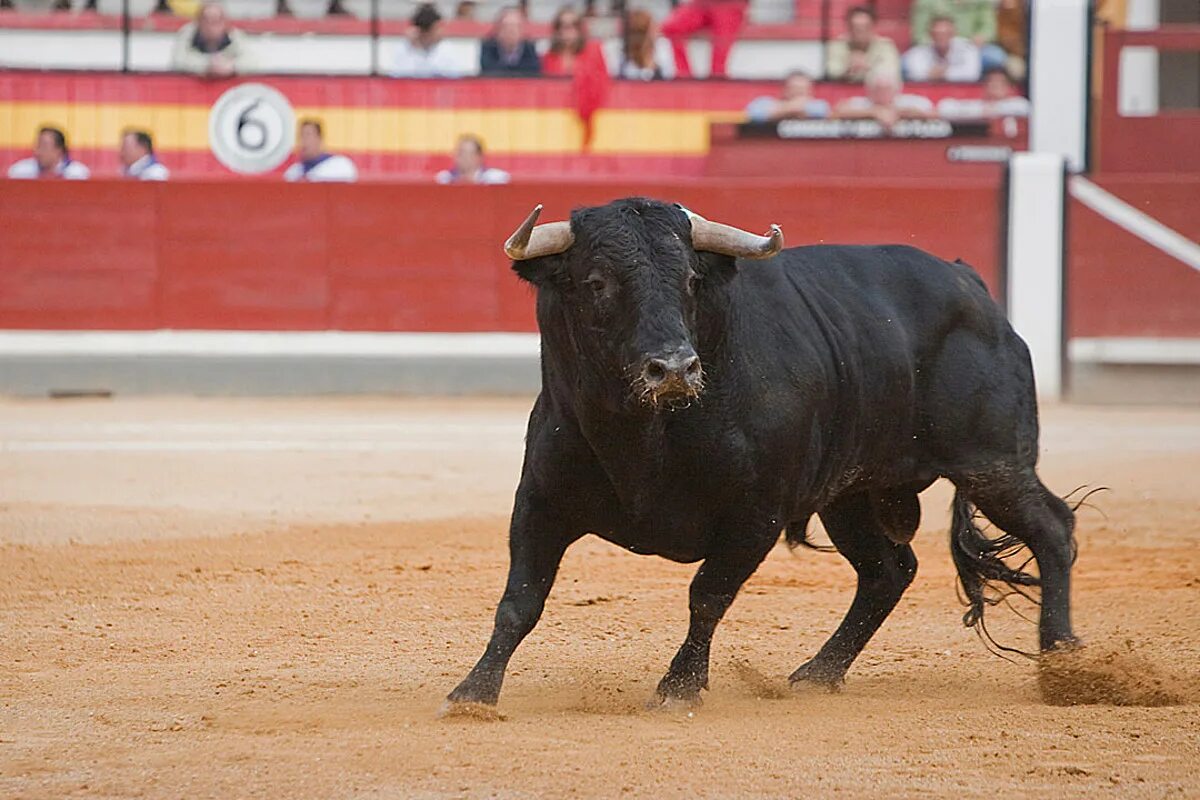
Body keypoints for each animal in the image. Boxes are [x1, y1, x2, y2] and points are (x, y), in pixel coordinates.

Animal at [444, 196, 1080, 710]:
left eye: (690, 280)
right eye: (596, 282)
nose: (674, 369)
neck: (644, 437)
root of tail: (970, 284)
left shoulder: (756, 515)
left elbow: (708, 596)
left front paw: (679, 689)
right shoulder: (540, 503)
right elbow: (520, 600)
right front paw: (473, 691)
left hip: (991, 464)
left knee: (1052, 529)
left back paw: (1063, 663)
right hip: (851, 494)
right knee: (888, 571)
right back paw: (820, 672)